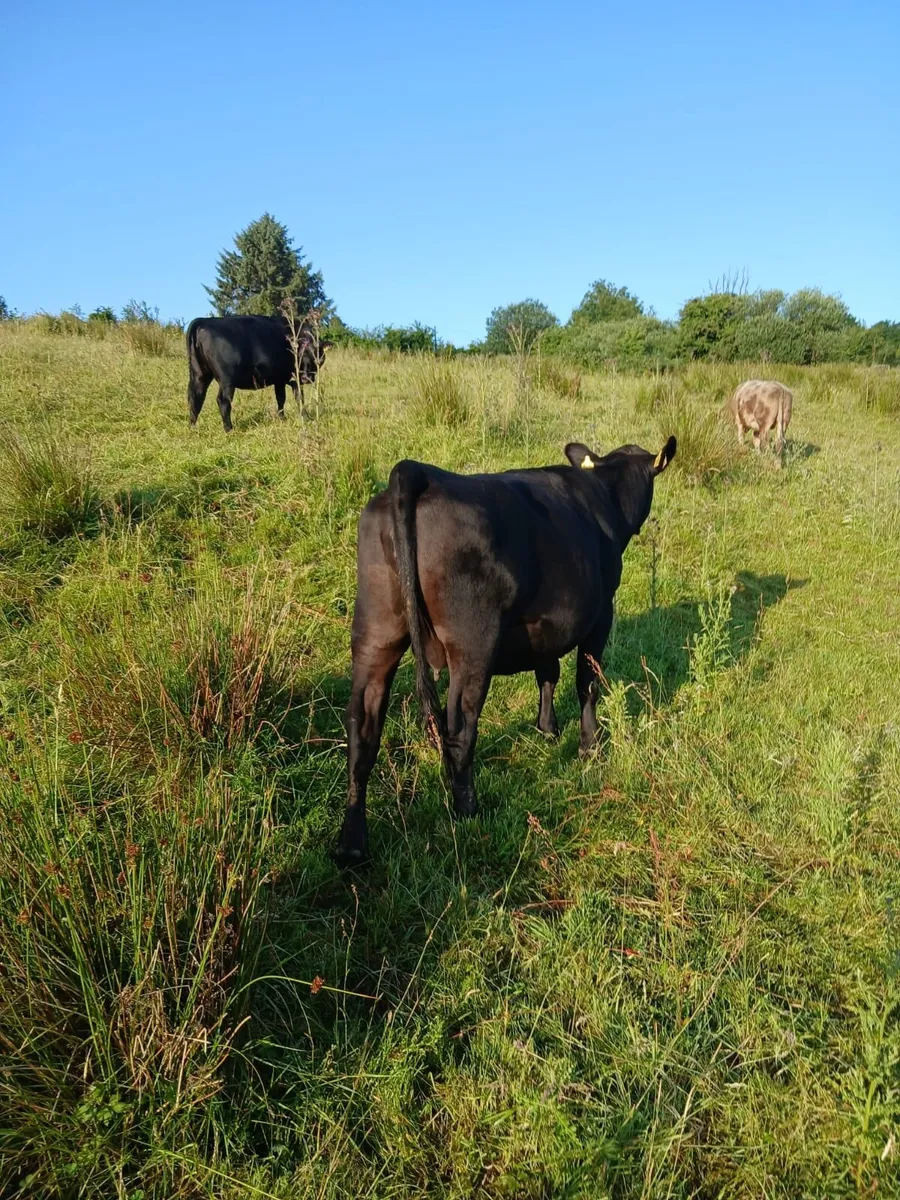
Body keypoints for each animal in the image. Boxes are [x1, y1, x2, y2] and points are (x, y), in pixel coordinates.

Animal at [186, 315, 331, 431]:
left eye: (318, 354)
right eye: (300, 353)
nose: (306, 377)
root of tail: (204, 321)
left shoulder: (279, 380)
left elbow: (281, 399)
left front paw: (282, 418)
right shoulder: (294, 379)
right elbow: (299, 398)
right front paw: (305, 417)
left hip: (199, 374)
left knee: (196, 398)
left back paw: (193, 428)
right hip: (227, 380)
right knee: (223, 401)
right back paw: (229, 429)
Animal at [335, 435, 677, 865]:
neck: (604, 493)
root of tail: (418, 472)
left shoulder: (545, 625)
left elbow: (548, 672)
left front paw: (547, 729)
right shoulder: (600, 614)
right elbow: (587, 682)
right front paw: (589, 746)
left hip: (376, 631)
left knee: (362, 729)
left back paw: (352, 843)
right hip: (473, 644)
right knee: (460, 730)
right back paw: (468, 811)